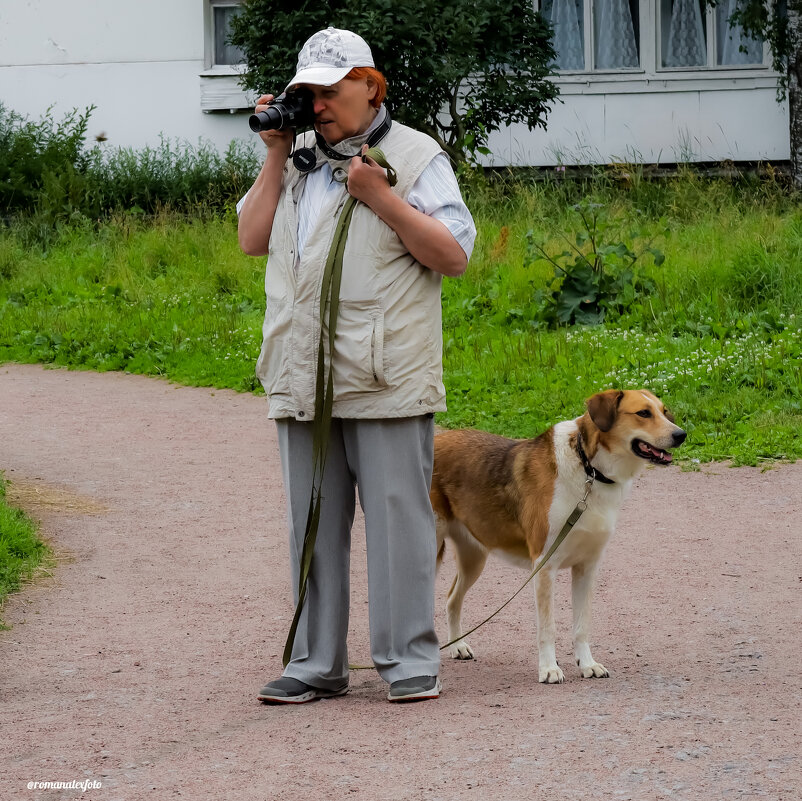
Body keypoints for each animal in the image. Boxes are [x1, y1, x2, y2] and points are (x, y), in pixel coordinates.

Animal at [428, 388, 684, 680]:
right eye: (643, 413)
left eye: (664, 412)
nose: (681, 435)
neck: (588, 468)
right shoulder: (544, 567)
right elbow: (547, 629)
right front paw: (549, 669)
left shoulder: (587, 567)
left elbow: (582, 626)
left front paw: (587, 664)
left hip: (474, 559)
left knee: (452, 599)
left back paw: (457, 646)